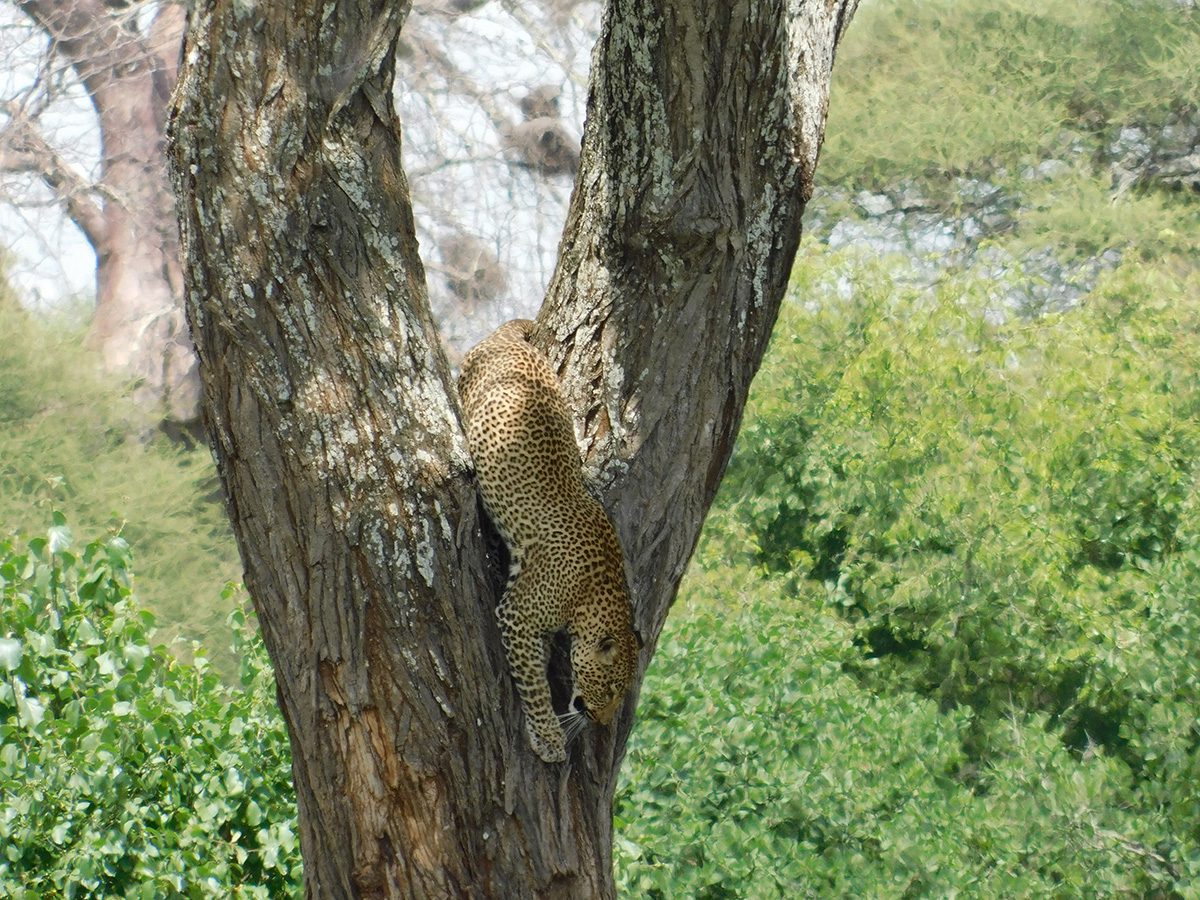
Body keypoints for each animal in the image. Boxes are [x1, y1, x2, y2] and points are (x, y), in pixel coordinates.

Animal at [458, 321, 648, 763]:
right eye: (610, 690)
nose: (601, 722)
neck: (594, 594)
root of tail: (507, 338)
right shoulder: (518, 615)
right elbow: (534, 684)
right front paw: (548, 737)